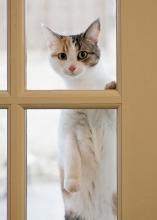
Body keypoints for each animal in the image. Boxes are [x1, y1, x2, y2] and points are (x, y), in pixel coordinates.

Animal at [42, 19, 117, 220]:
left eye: (82, 54)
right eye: (62, 56)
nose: (72, 67)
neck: (83, 88)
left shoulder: (111, 125)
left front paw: (111, 86)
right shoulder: (67, 130)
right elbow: (71, 154)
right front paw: (72, 184)